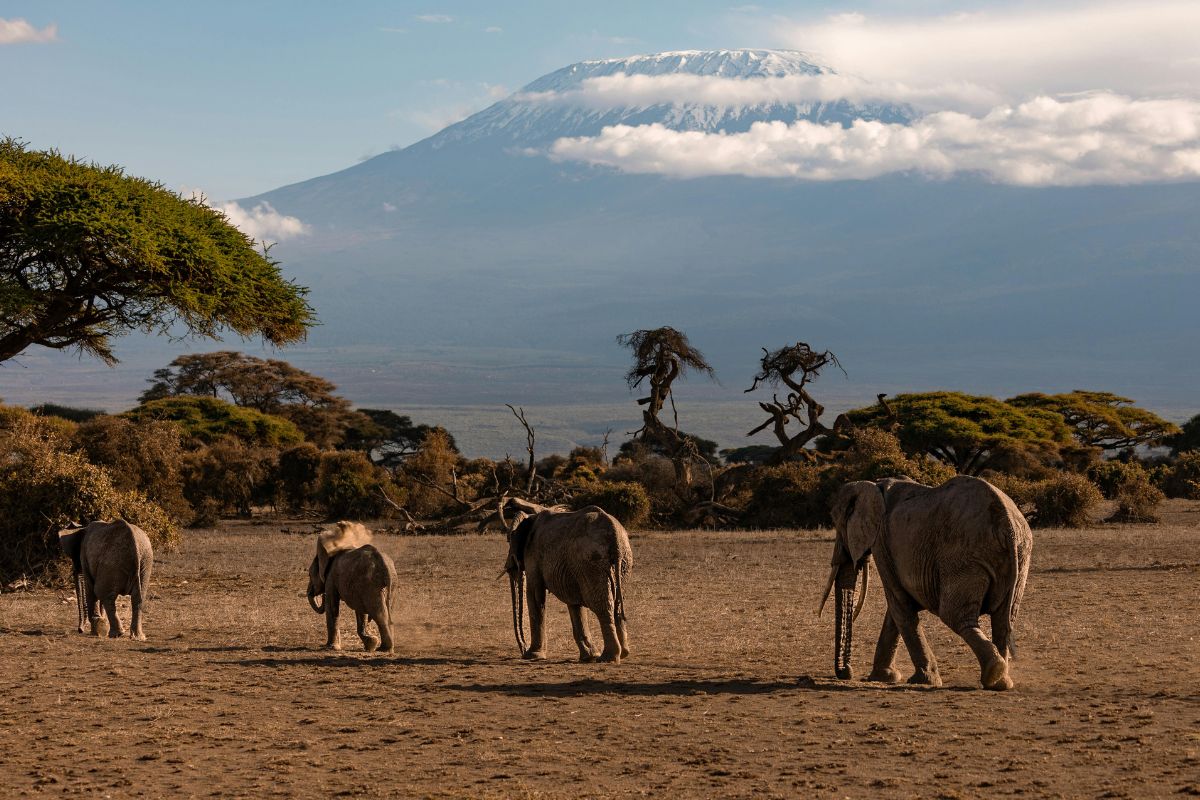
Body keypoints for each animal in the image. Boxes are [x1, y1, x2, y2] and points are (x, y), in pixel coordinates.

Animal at [307, 521, 397, 653]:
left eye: (309, 574)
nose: (321, 594)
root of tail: (384, 564)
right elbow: (361, 611)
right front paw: (371, 644)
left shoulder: (331, 578)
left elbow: (332, 607)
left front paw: (330, 648)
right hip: (387, 584)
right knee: (387, 612)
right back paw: (385, 648)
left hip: (372, 584)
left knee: (380, 614)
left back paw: (384, 649)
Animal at [501, 500, 633, 663]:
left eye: (508, 539)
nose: (523, 650)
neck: (531, 516)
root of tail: (614, 533)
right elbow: (574, 602)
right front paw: (588, 657)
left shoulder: (533, 554)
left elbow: (534, 594)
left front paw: (533, 656)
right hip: (622, 562)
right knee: (617, 603)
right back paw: (623, 654)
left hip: (591, 561)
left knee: (602, 605)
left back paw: (607, 658)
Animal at [820, 475, 1032, 690]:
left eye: (838, 524)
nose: (846, 673)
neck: (873, 485)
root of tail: (1007, 524)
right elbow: (896, 609)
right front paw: (885, 677)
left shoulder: (881, 543)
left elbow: (899, 605)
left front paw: (923, 680)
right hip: (1019, 556)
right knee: (1003, 620)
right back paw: (1001, 681)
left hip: (963, 557)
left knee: (955, 616)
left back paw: (994, 672)